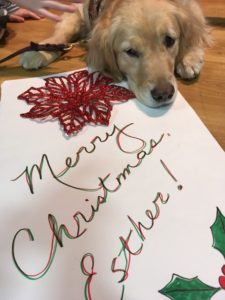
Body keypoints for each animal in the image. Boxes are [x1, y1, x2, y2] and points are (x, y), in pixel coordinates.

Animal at [19, 0, 211, 108]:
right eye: (130, 52)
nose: (164, 94)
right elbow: (63, 32)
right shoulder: (78, 11)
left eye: (170, 40)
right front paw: (41, 50)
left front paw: (189, 55)